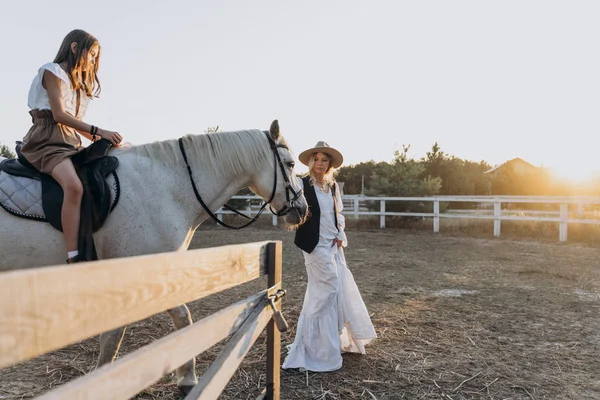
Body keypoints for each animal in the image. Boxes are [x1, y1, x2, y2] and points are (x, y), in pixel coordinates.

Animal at [0, 119, 310, 394]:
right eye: (291, 164)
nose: (303, 210)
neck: (166, 187)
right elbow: (121, 335)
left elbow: (181, 320)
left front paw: (186, 378)